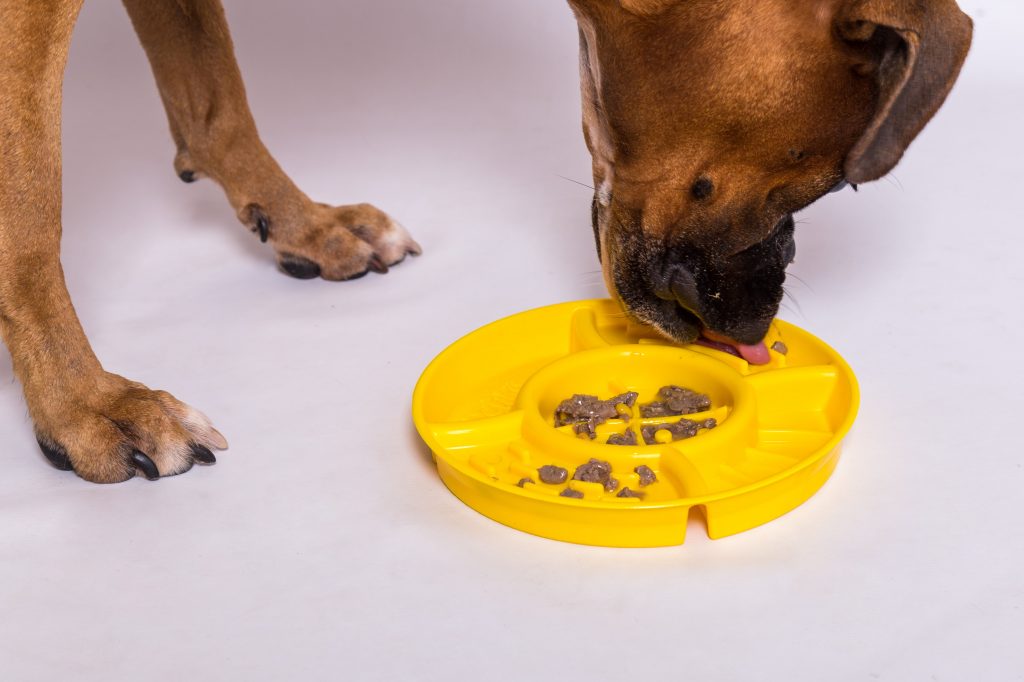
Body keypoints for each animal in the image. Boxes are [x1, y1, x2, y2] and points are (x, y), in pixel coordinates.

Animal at [0, 0, 966, 481]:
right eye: (823, 180)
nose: (760, 332)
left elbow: (212, 90)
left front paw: (302, 219)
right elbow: (32, 207)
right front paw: (86, 406)